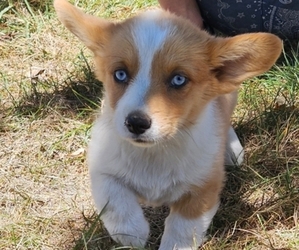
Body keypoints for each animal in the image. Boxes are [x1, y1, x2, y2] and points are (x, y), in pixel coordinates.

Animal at [54, 0, 284, 249]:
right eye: (120, 74)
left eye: (178, 79)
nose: (136, 123)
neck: (154, 153)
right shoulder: (101, 166)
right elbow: (116, 201)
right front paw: (133, 233)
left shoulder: (204, 186)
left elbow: (182, 228)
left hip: (228, 97)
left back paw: (231, 149)